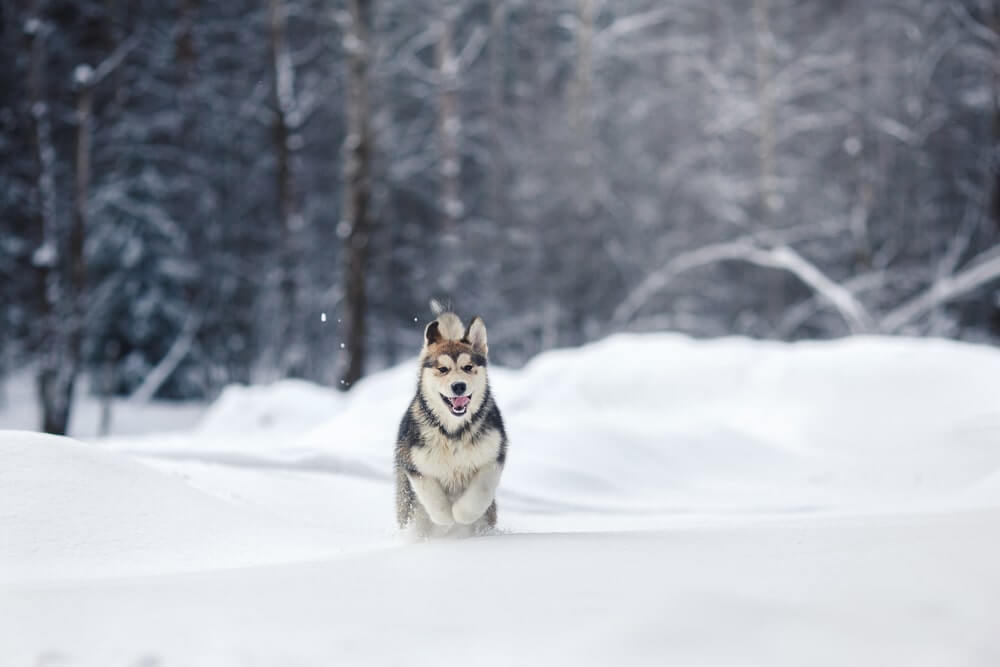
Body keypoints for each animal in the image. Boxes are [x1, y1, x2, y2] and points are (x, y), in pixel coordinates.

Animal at [394, 314, 508, 536]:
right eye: (443, 369)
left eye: (468, 367)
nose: (458, 386)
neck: (453, 432)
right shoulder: (414, 462)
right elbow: (431, 494)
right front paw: (445, 518)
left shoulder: (493, 457)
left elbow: (480, 492)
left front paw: (460, 514)